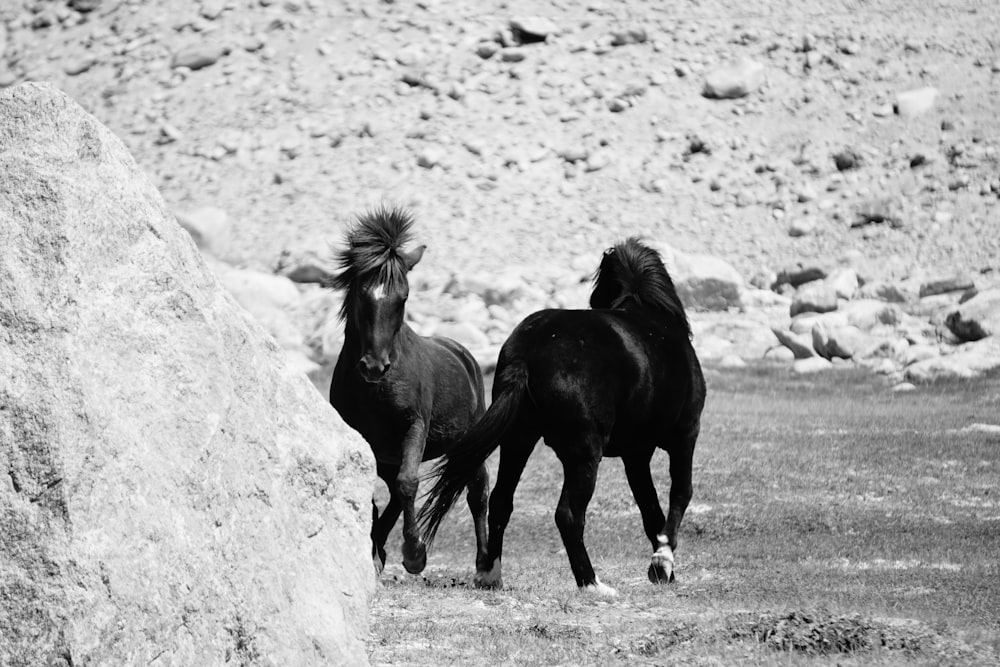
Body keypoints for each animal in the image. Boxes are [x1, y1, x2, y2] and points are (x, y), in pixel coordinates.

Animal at [330, 206, 490, 576]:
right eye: (361, 293)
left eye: (403, 298)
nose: (374, 366)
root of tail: (465, 356)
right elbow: (377, 492)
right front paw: (377, 553)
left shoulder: (414, 426)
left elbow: (408, 483)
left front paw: (415, 554)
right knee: (392, 496)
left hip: (470, 444)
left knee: (477, 494)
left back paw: (487, 568)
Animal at [418, 239, 708, 596]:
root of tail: (528, 351)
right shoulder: (685, 435)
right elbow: (680, 494)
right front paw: (664, 561)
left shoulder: (636, 454)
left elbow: (650, 508)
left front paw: (661, 568)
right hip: (584, 454)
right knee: (568, 515)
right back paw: (592, 583)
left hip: (518, 440)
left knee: (501, 501)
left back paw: (491, 575)